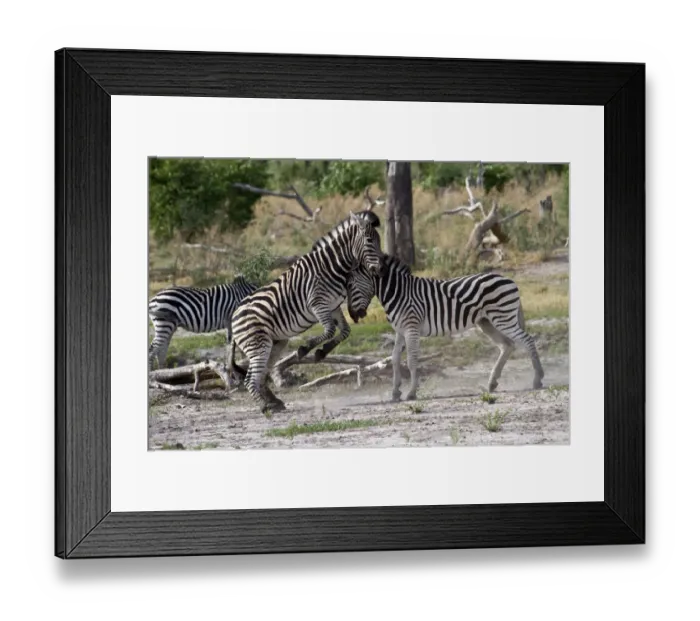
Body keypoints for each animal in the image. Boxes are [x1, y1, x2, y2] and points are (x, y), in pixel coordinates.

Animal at [230, 211, 384, 413]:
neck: (332, 267)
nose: (381, 268)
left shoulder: (333, 306)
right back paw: (265, 407)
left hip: (275, 344)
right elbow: (329, 330)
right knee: (250, 380)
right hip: (258, 345)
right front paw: (305, 349)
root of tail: (233, 317)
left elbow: (344, 331)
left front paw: (322, 352)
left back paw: (274, 401)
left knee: (262, 375)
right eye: (369, 240)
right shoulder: (318, 304)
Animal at [346, 254, 545, 401]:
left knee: (527, 340)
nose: (354, 316)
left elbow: (411, 360)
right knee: (507, 345)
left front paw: (411, 392)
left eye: (351, 285)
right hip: (487, 322)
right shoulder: (400, 330)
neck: (398, 292)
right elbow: (394, 359)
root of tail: (509, 280)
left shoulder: (411, 328)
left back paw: (537, 379)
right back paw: (492, 383)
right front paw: (395, 392)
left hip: (503, 318)